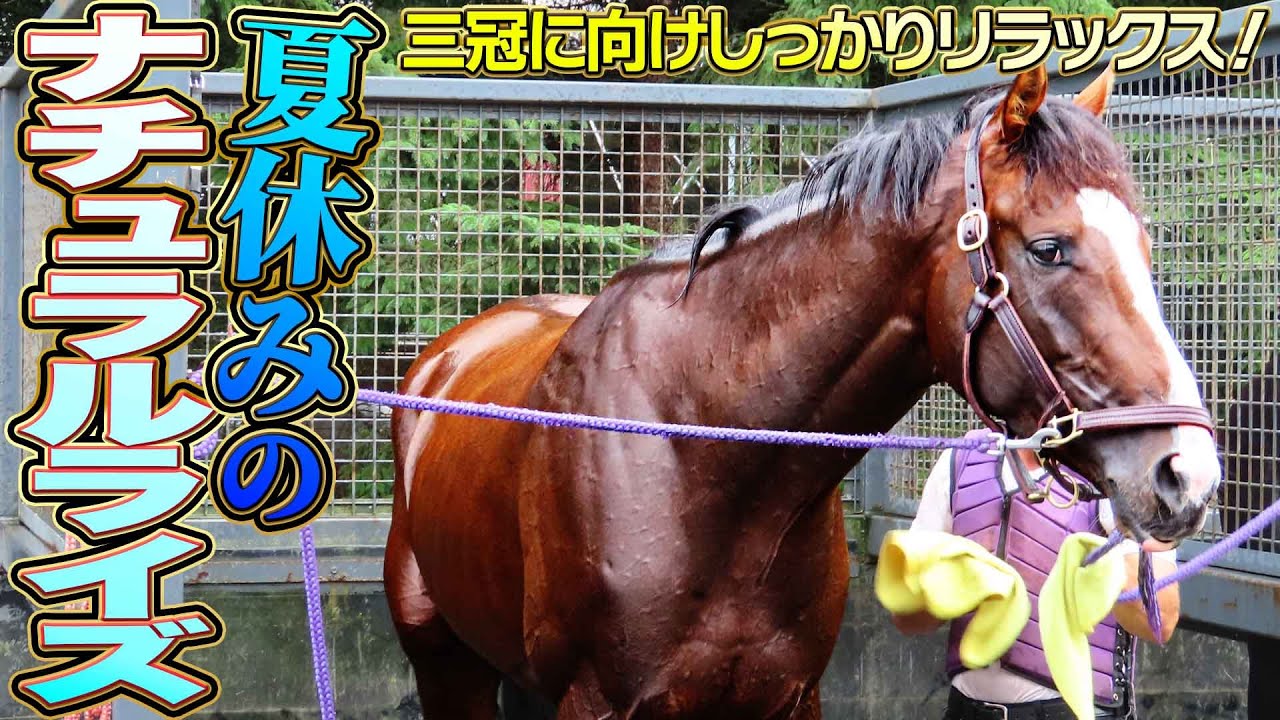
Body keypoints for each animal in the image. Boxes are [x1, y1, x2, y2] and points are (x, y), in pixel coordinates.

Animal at [385, 66, 1223, 719]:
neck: (706, 456)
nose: (1187, 472)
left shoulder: (788, 696)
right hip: (443, 661)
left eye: (1144, 245)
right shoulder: (596, 702)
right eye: (1050, 248)